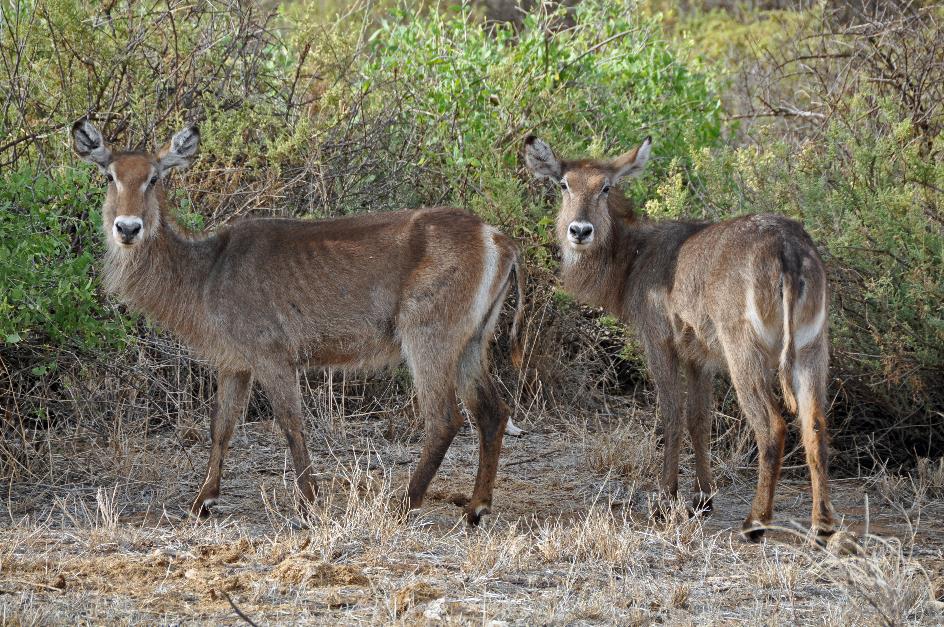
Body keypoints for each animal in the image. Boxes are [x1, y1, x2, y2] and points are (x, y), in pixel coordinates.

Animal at [74, 119, 528, 524]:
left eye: (154, 177)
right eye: (109, 175)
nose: (127, 228)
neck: (208, 270)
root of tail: (499, 239)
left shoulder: (272, 355)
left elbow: (291, 424)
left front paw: (310, 503)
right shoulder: (234, 362)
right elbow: (221, 426)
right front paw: (202, 501)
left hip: (428, 336)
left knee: (445, 419)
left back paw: (403, 506)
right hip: (473, 341)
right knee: (493, 411)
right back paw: (476, 507)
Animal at [524, 135, 832, 536]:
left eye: (605, 187)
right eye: (564, 184)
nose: (579, 231)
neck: (635, 257)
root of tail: (786, 247)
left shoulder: (660, 343)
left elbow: (671, 414)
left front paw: (666, 499)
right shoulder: (699, 357)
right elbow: (699, 419)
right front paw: (703, 499)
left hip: (743, 352)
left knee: (773, 426)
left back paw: (755, 522)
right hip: (811, 347)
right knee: (815, 426)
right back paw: (821, 526)